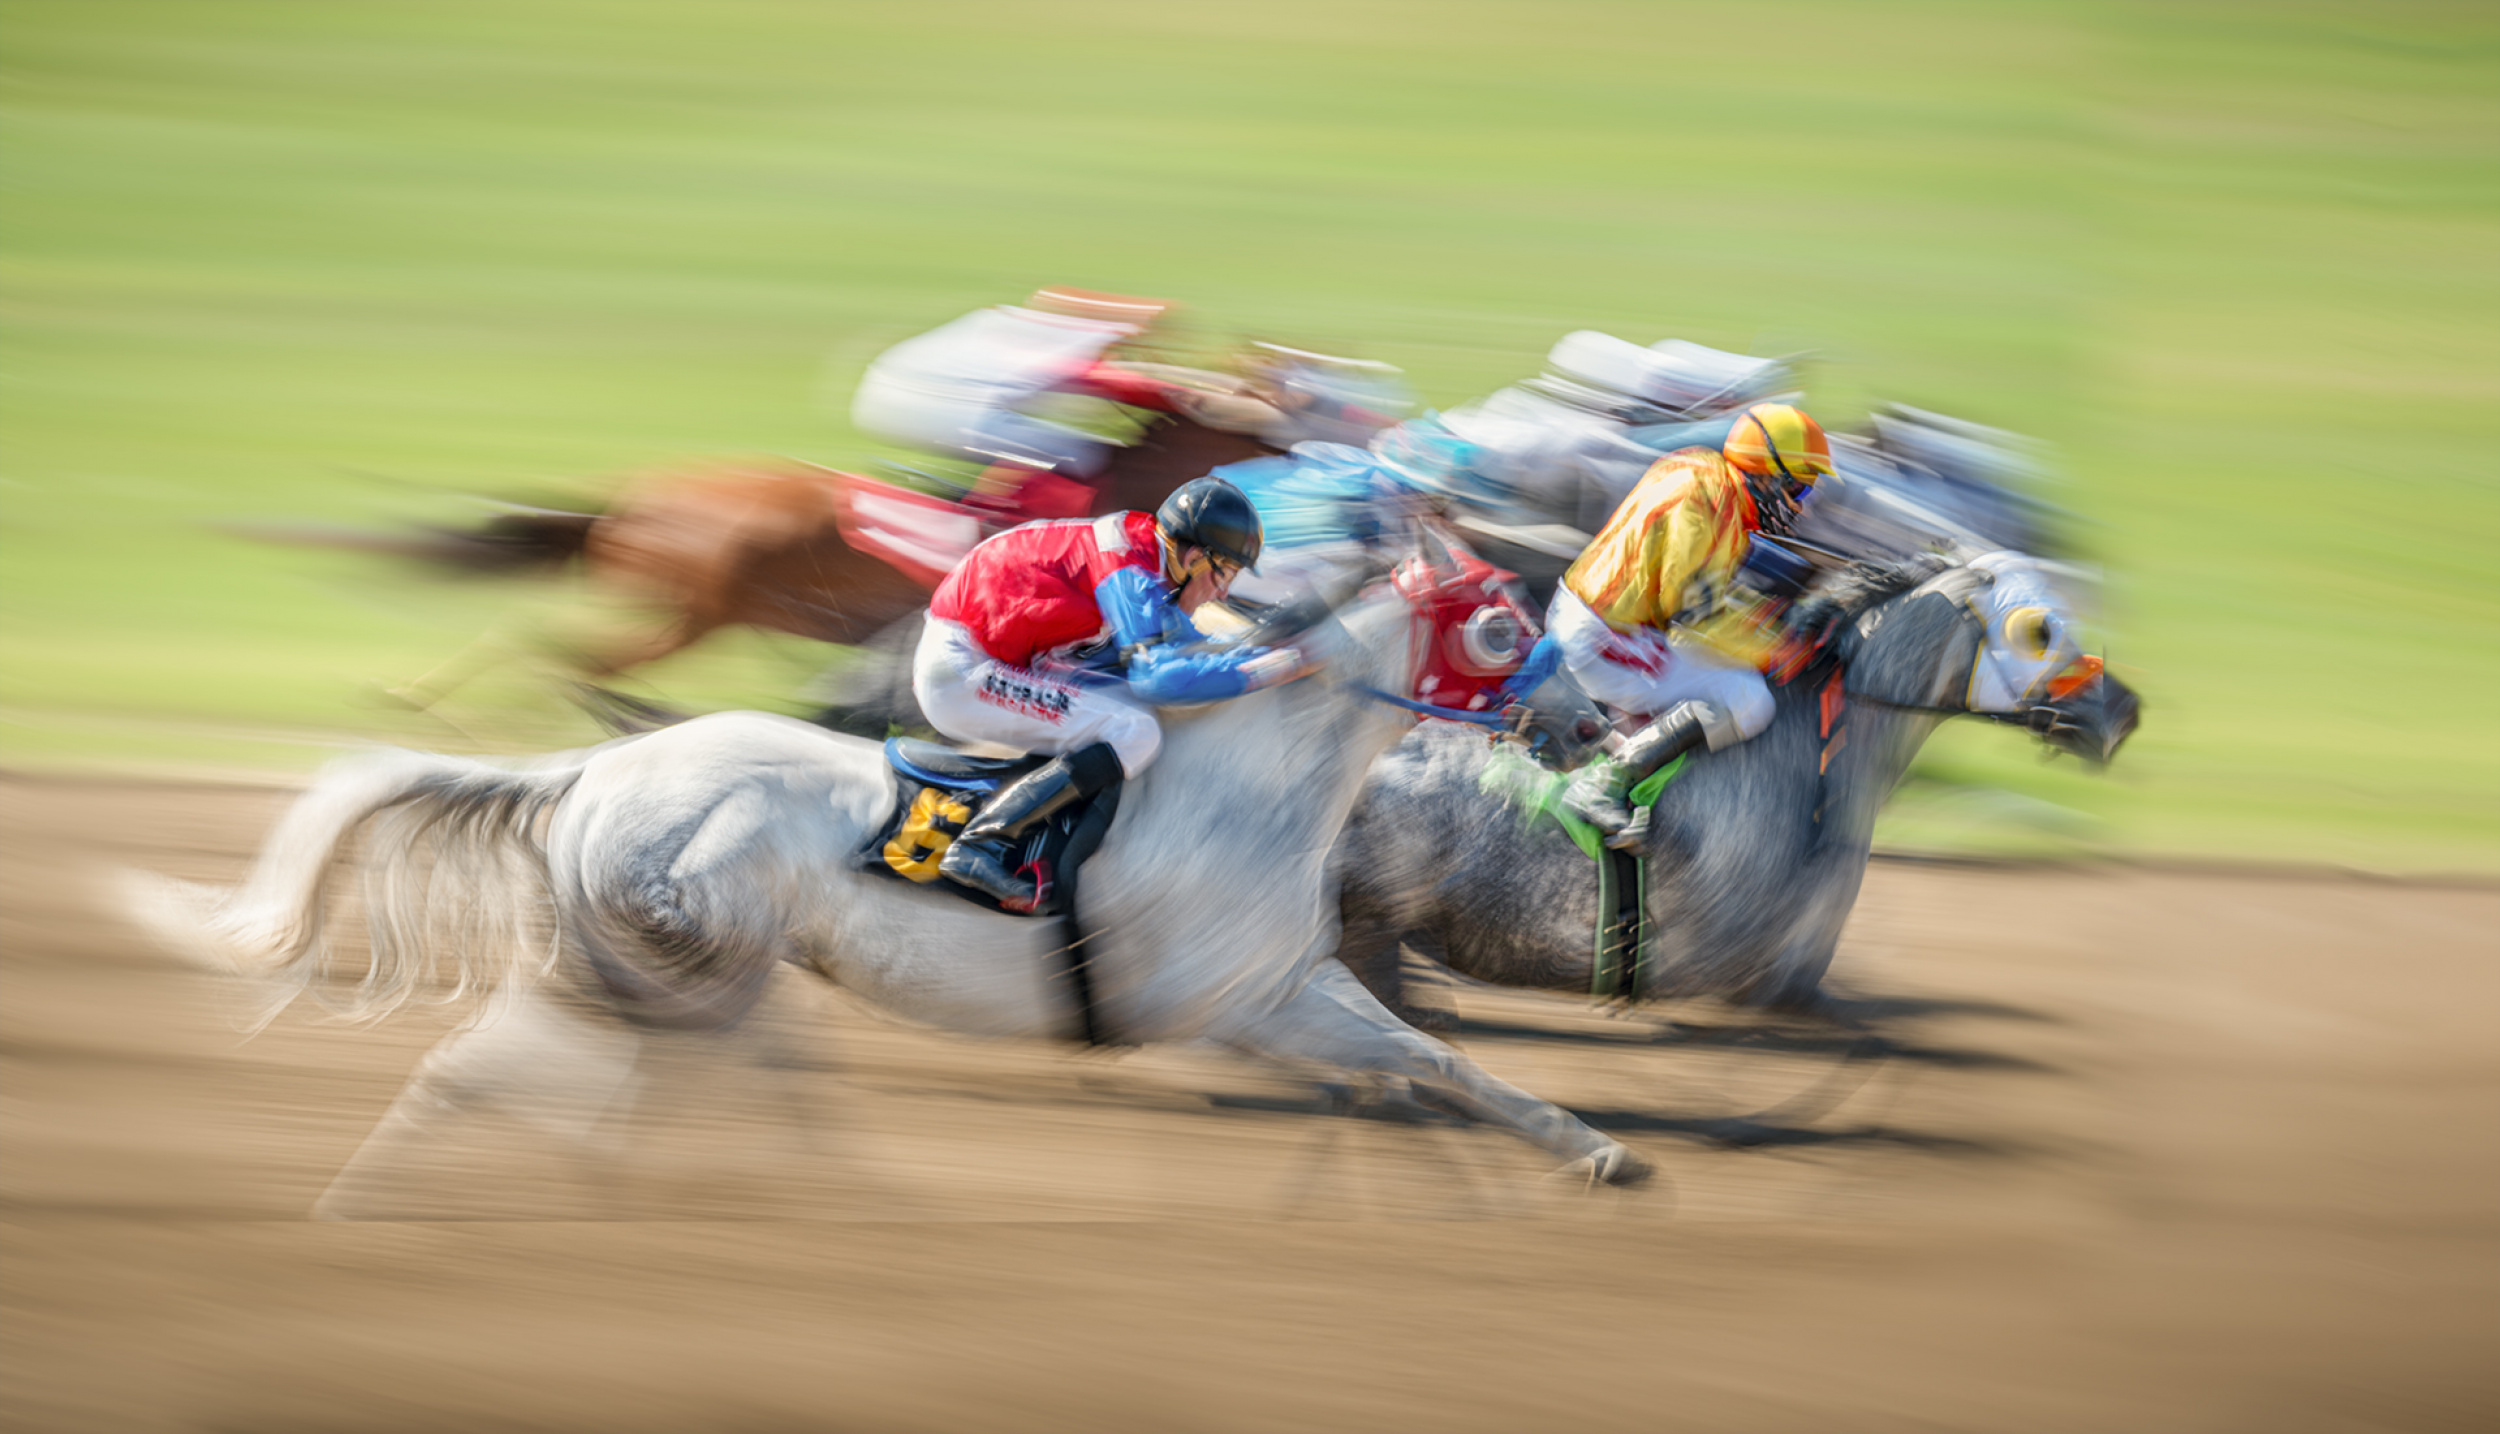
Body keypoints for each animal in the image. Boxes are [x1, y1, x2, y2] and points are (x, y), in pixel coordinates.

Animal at [123, 540, 1650, 1218]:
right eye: (1503, 616)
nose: (1593, 722)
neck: (1247, 783)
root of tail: (597, 771)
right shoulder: (1239, 1005)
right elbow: (1406, 1065)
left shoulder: (1294, 979)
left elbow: (1432, 1065)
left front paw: (1592, 1150)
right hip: (672, 945)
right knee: (494, 1069)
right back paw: (367, 1211)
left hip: (686, 967)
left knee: (669, 1084)